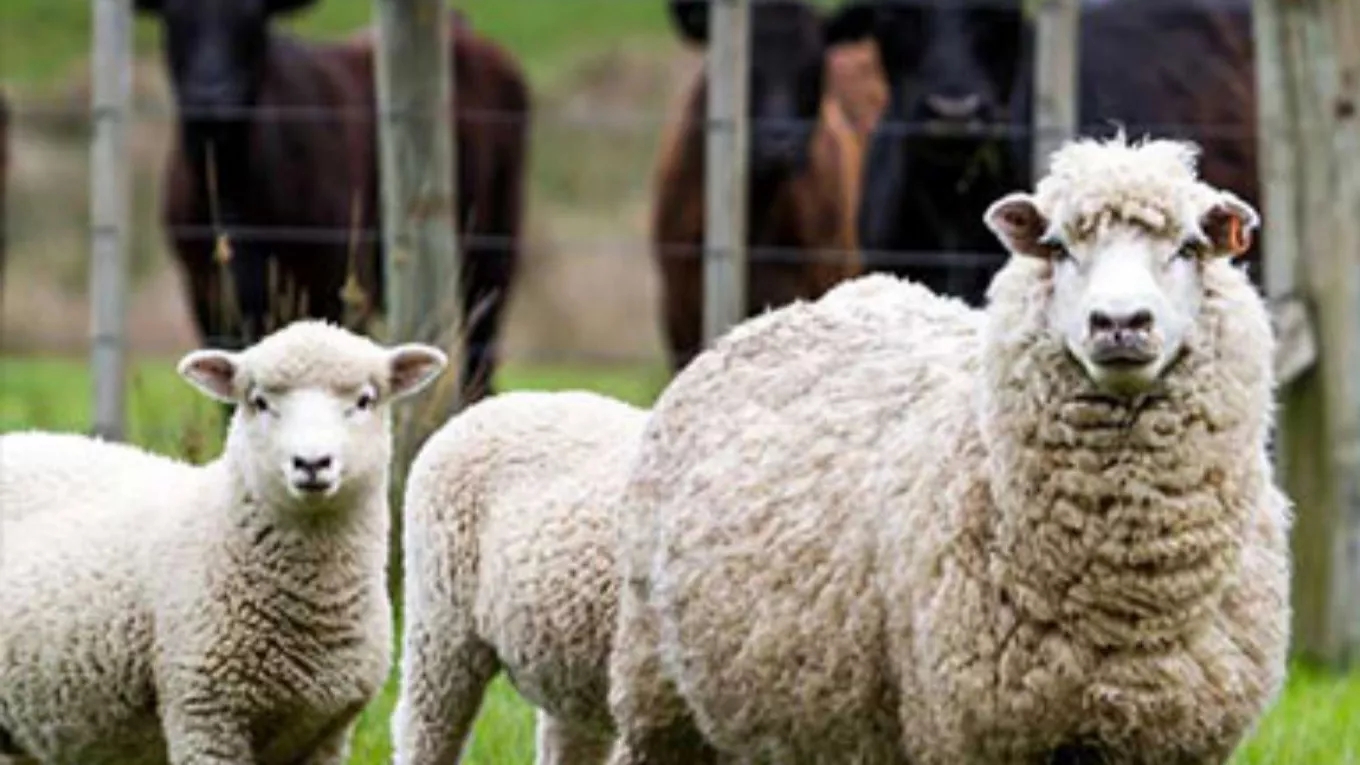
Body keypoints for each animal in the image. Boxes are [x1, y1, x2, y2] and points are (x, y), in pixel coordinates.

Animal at [605, 133, 1292, 765]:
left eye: (1189, 248)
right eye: (1058, 248)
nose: (1120, 323)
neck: (1123, 596)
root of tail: (775, 315)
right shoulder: (967, 733)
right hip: (658, 692)